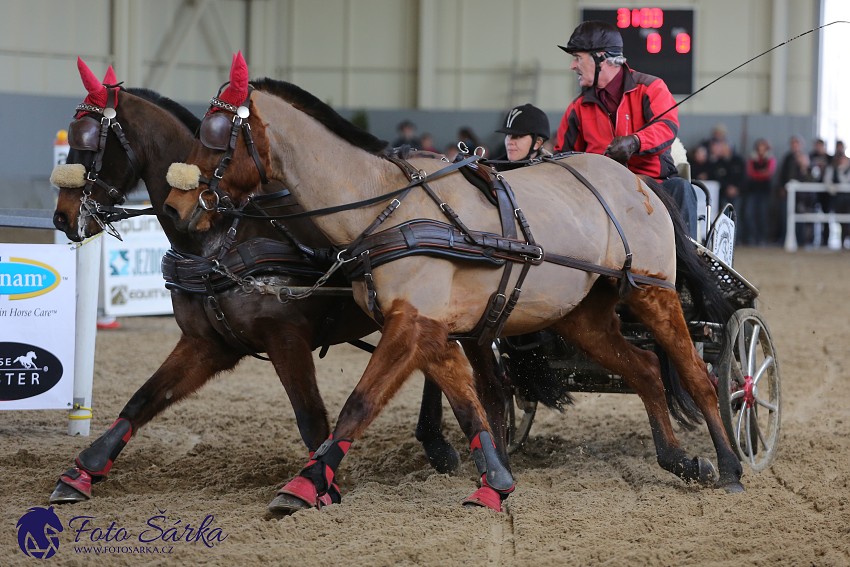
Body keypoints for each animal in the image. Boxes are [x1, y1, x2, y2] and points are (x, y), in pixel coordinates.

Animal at [49, 60, 480, 512]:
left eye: (88, 144)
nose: (61, 217)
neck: (224, 237)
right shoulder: (208, 343)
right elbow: (143, 400)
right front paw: (83, 471)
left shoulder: (286, 338)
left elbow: (311, 418)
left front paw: (319, 485)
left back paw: (437, 444)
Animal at [161, 54, 744, 516]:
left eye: (218, 138)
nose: (174, 207)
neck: (385, 207)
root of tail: (634, 181)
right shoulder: (431, 330)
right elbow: (470, 404)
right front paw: (495, 484)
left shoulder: (412, 325)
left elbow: (360, 404)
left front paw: (302, 486)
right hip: (582, 315)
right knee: (644, 369)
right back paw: (679, 459)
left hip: (653, 293)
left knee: (698, 377)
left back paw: (731, 465)